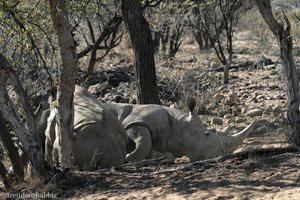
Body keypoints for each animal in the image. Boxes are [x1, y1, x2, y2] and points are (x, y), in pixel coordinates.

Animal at [104, 98, 256, 162]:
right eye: (207, 134)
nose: (222, 155)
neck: (177, 125)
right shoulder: (135, 121)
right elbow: (143, 137)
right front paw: (130, 157)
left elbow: (161, 151)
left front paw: (157, 157)